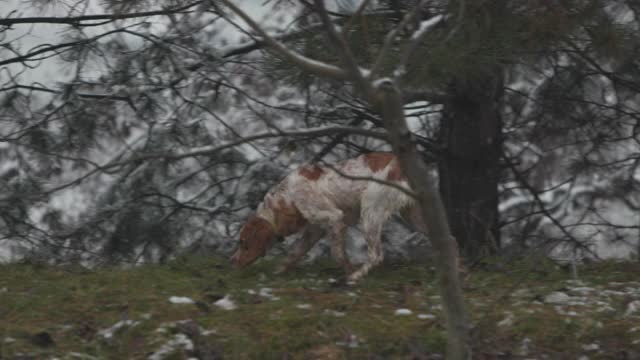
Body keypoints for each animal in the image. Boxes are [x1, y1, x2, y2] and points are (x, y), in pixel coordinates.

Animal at [230, 152, 430, 282]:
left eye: (243, 242)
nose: (232, 261)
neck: (288, 197)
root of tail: (400, 165)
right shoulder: (314, 230)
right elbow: (294, 253)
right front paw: (279, 271)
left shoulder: (335, 218)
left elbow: (337, 253)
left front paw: (350, 271)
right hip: (413, 215)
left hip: (370, 211)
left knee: (376, 255)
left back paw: (357, 276)